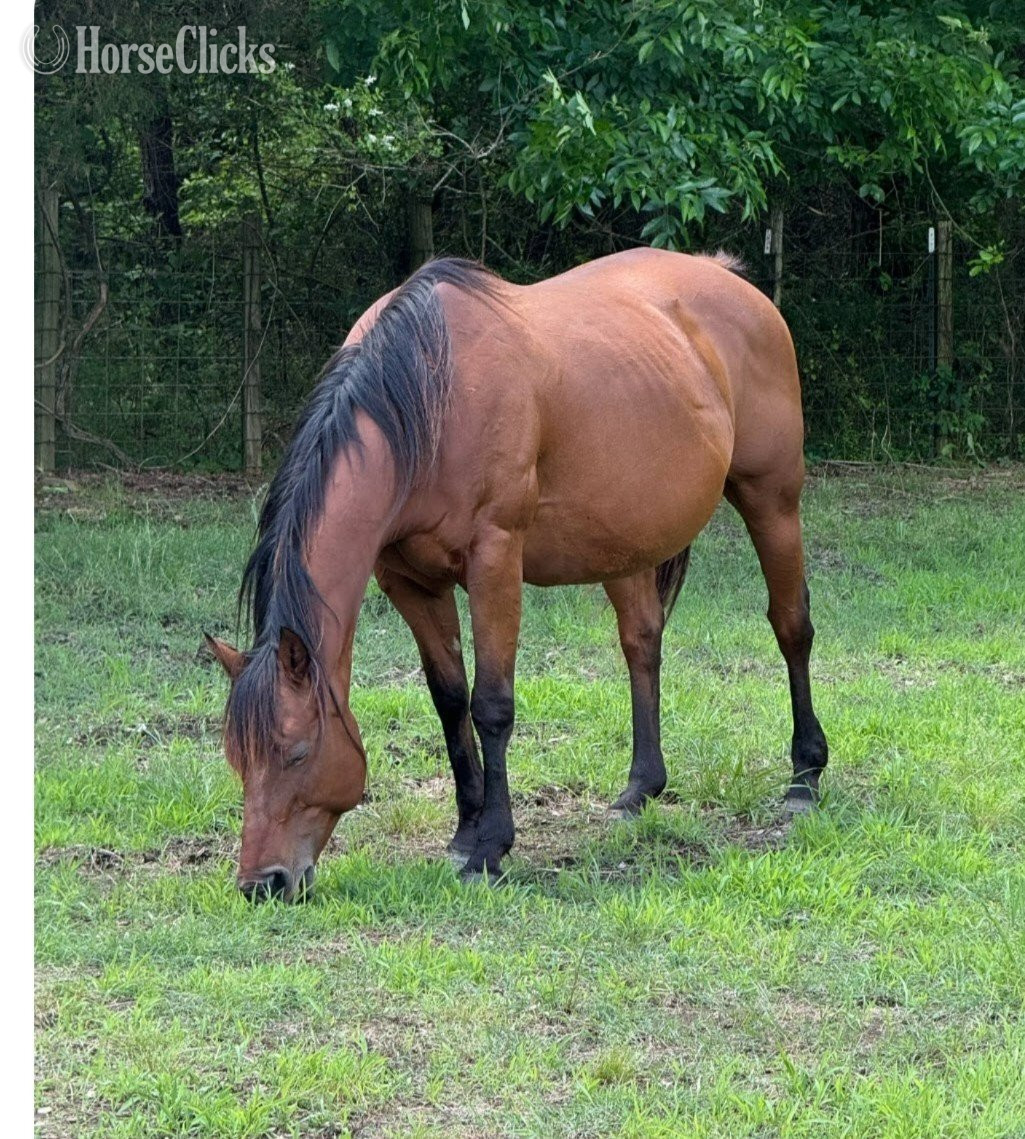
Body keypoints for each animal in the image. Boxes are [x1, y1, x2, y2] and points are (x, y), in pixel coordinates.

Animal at [206, 247, 829, 901]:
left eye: (297, 753)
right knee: (642, 642)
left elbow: (491, 706)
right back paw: (640, 789)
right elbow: (449, 700)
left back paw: (804, 777)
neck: (427, 395)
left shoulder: (495, 562)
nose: (261, 883)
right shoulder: (409, 582)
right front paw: (465, 829)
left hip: (772, 500)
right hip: (622, 541)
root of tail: (727, 275)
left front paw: (490, 848)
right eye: (236, 758)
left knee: (791, 626)